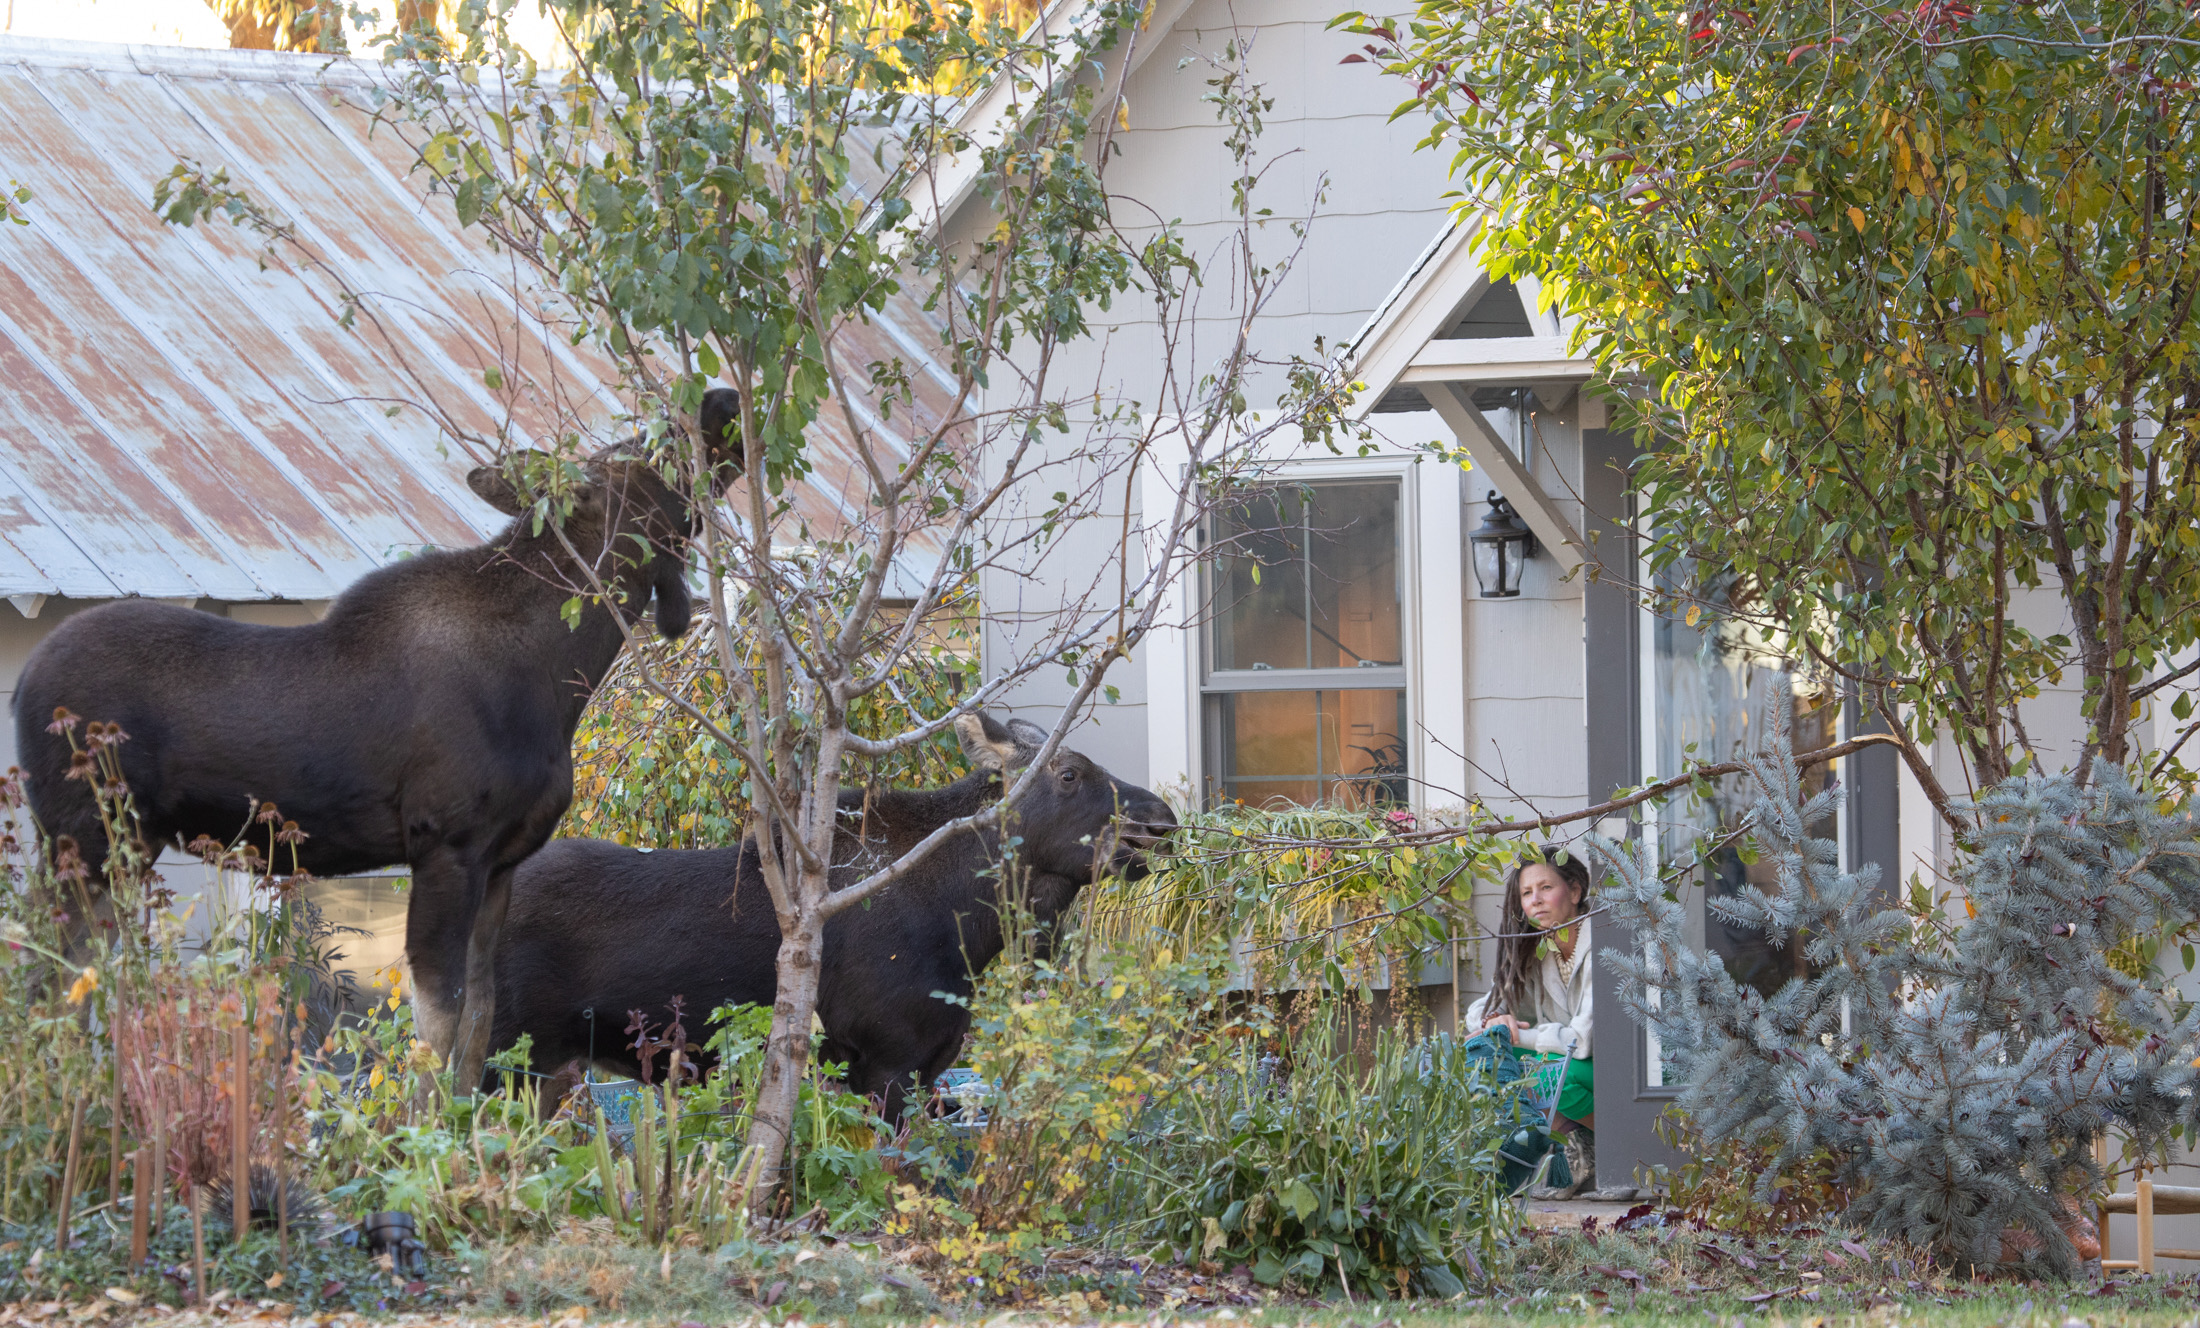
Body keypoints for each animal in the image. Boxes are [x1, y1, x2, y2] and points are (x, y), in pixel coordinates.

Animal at [8, 391, 748, 1090]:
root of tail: (20, 685)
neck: (560, 674)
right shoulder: (446, 846)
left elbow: (476, 1030)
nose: (723, 396)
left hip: (121, 845)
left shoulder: (503, 862)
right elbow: (439, 1028)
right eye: (652, 449)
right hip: (87, 837)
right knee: (44, 979)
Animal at [477, 712, 1170, 1116]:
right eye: (1070, 773)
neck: (970, 926)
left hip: (548, 1069)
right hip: (497, 1049)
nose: (1161, 818)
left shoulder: (931, 1064)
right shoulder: (888, 1060)